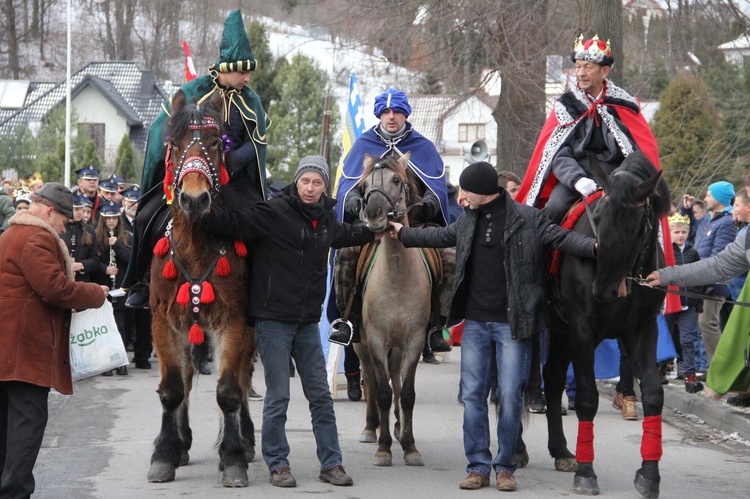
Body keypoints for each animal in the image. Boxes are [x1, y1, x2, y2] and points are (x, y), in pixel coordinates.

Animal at [145, 90, 258, 488]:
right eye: (175, 145)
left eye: (213, 142)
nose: (194, 199)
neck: (196, 245)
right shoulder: (164, 321)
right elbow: (172, 389)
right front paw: (165, 453)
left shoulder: (234, 322)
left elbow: (229, 391)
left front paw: (234, 456)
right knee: (189, 378)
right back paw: (182, 443)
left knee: (243, 379)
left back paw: (245, 440)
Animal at [544, 152, 672, 499]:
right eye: (597, 218)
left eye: (636, 227)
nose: (602, 291)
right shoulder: (582, 331)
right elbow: (587, 397)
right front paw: (587, 473)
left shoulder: (642, 331)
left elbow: (653, 393)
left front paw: (650, 475)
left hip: (560, 333)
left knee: (552, 379)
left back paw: (561, 451)